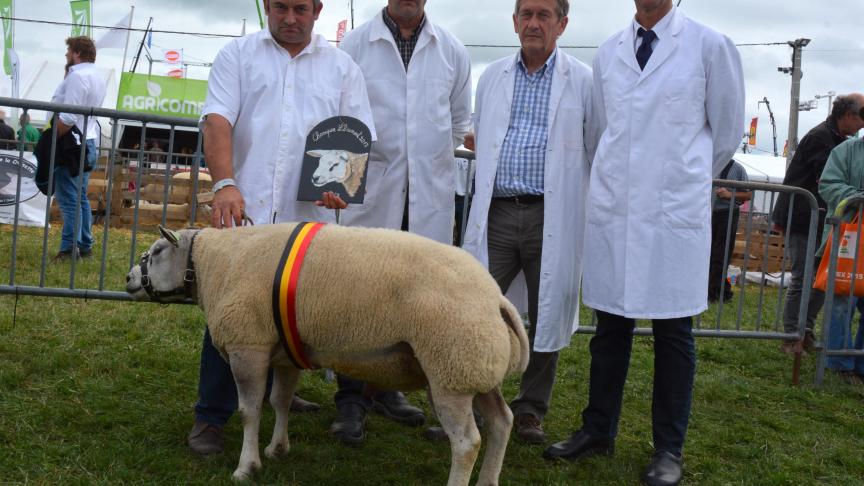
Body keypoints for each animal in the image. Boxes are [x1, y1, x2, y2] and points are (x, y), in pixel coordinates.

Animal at [125, 224, 528, 486]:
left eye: (157, 252)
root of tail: (497, 298)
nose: (128, 280)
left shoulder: (248, 347)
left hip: (451, 368)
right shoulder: (285, 352)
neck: (215, 264)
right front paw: (278, 449)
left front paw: (246, 467)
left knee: (467, 442)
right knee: (501, 422)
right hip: (474, 368)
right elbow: (280, 401)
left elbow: (249, 410)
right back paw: (489, 480)